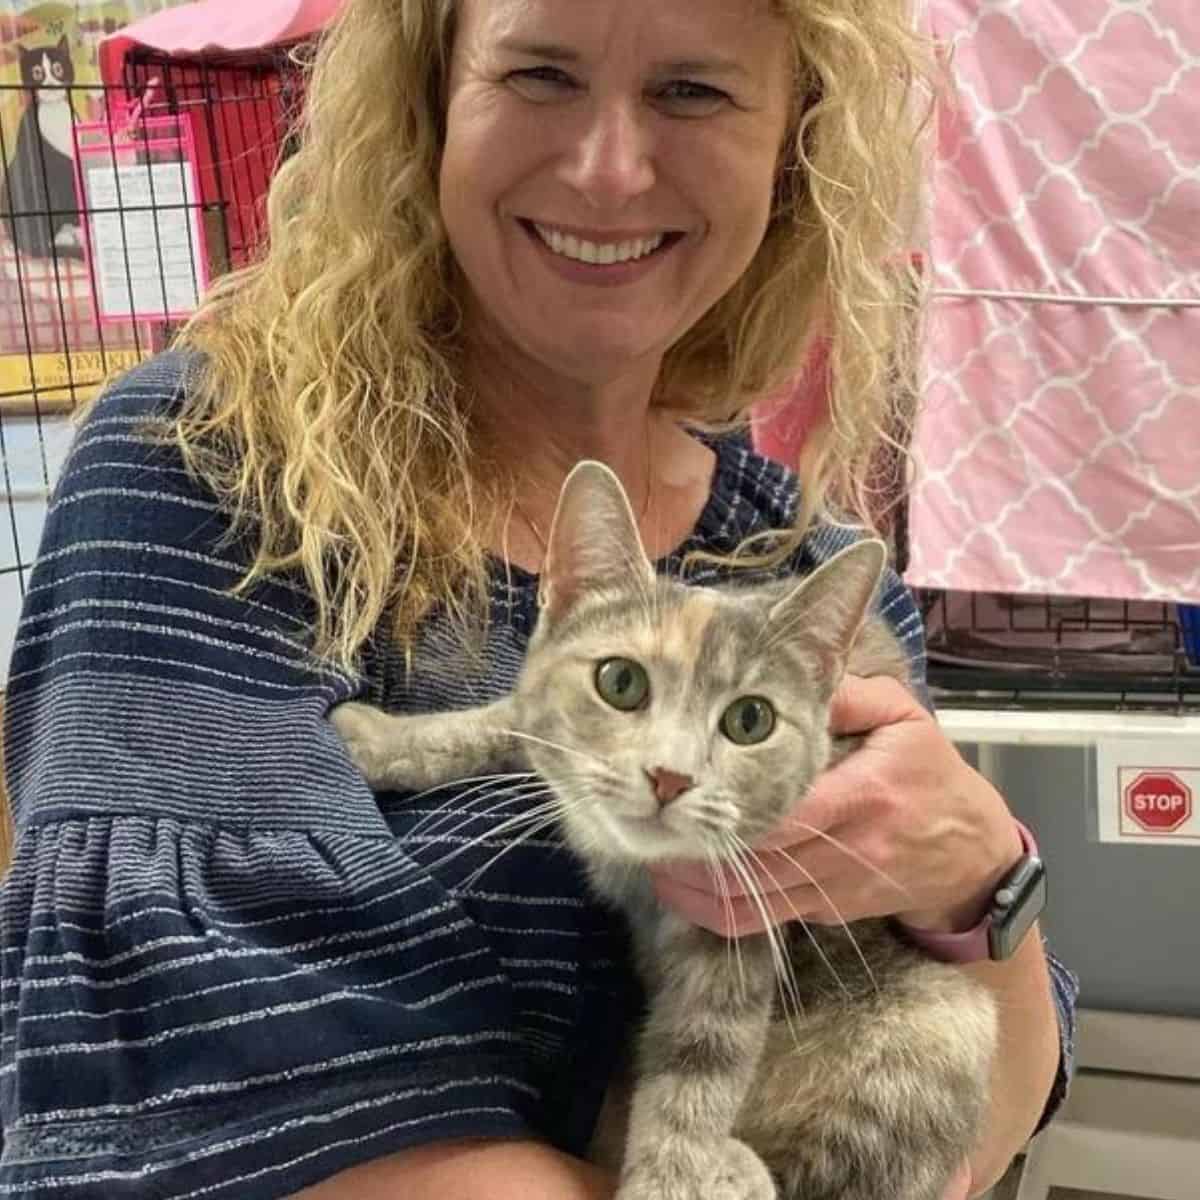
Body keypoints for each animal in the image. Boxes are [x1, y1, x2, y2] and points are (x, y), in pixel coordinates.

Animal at [328, 460, 993, 1200]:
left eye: (751, 720)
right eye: (620, 681)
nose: (669, 776)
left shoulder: (743, 908)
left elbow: (701, 1062)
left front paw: (675, 1173)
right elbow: (509, 718)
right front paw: (385, 738)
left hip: (942, 1024)